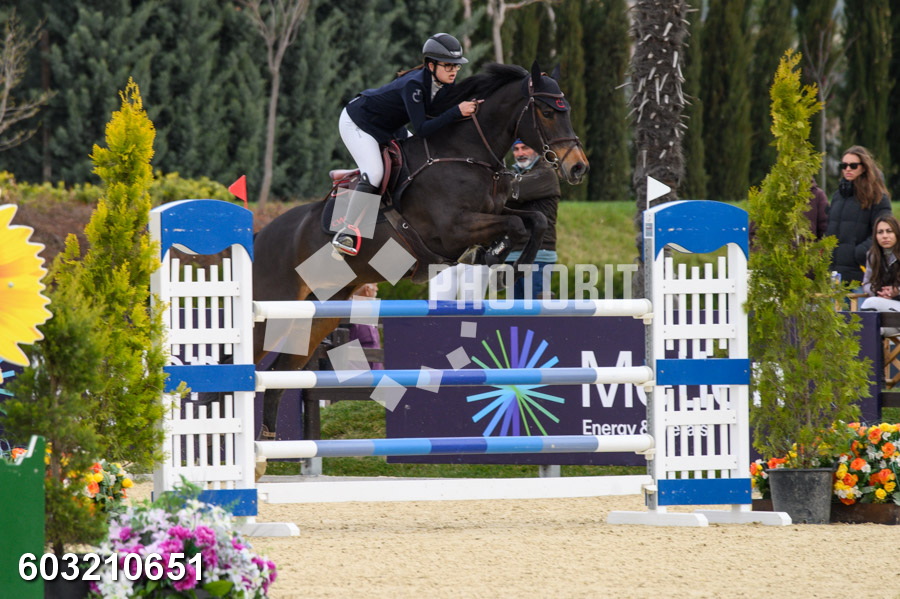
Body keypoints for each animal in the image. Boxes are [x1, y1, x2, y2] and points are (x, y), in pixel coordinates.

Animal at [249, 61, 588, 439]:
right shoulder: (452, 229)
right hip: (271, 309)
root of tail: (260, 236)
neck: (465, 153)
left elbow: (534, 221)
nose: (578, 167)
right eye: (547, 112)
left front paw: (501, 261)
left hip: (318, 313)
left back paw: (266, 445)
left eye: (566, 110)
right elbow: (515, 226)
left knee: (277, 375)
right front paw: (499, 263)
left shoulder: (495, 211)